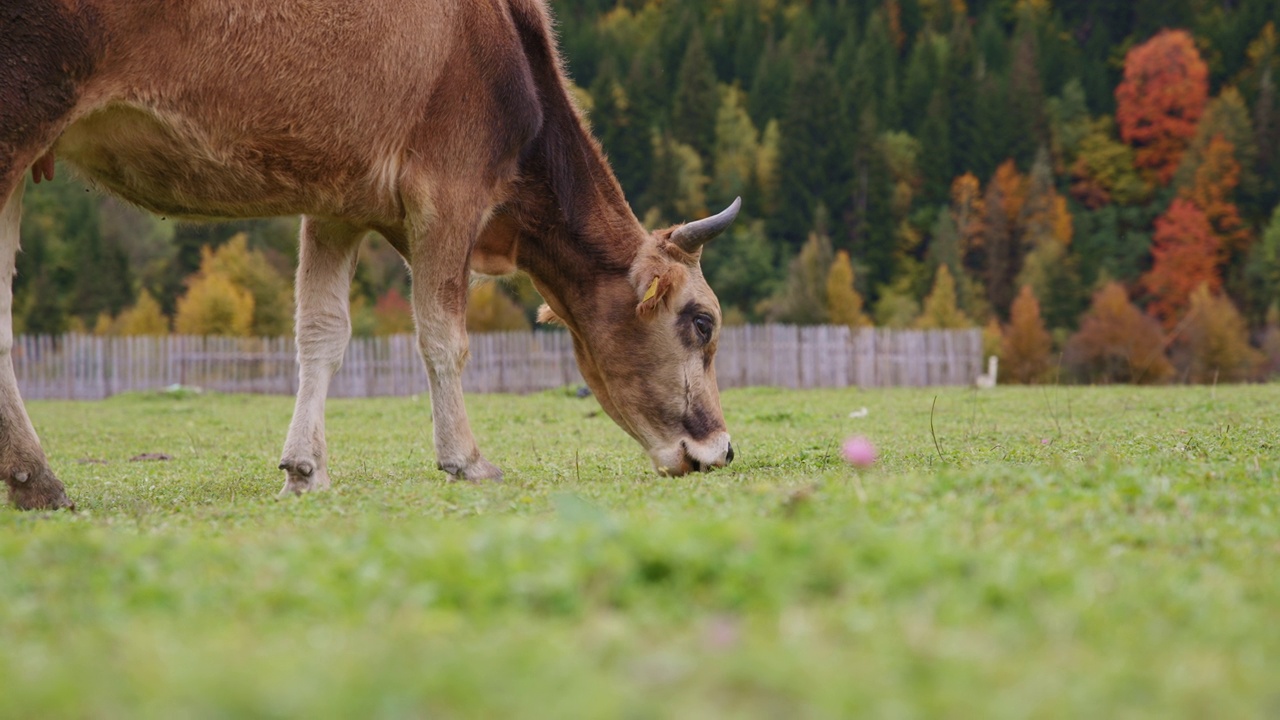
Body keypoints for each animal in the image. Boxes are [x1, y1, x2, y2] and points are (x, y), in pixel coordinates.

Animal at [0, 0, 742, 509]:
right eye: (701, 322)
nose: (722, 449)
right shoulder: (447, 190)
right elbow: (445, 337)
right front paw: (466, 459)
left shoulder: (338, 202)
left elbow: (322, 334)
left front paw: (305, 468)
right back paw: (39, 480)